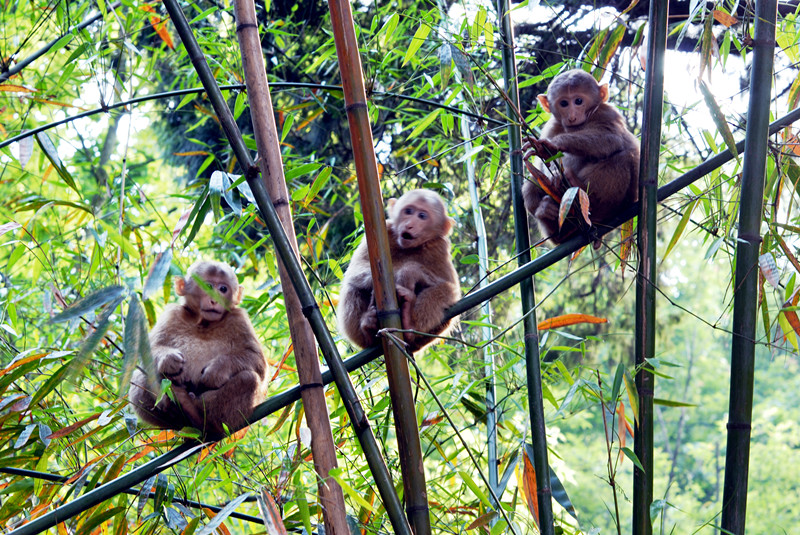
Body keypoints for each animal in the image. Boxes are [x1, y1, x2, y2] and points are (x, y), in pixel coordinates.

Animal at [129, 260, 268, 440]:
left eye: (223, 289)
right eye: (208, 286)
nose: (215, 300)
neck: (203, 323)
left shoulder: (239, 319)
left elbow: (256, 361)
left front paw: (217, 370)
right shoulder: (172, 314)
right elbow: (148, 351)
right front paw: (170, 360)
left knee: (248, 379)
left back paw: (198, 415)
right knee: (142, 375)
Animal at [338, 189, 460, 352]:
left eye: (422, 216)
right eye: (408, 211)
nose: (409, 225)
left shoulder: (439, 247)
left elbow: (450, 286)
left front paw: (408, 272)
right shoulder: (386, 229)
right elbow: (355, 271)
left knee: (446, 291)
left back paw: (409, 321)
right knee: (352, 287)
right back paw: (368, 331)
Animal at [522, 69, 639, 245]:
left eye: (578, 101)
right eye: (564, 103)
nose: (572, 116)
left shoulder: (607, 112)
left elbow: (611, 138)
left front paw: (552, 145)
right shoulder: (552, 125)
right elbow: (542, 165)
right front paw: (550, 166)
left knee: (625, 156)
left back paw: (582, 191)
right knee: (534, 179)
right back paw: (547, 212)